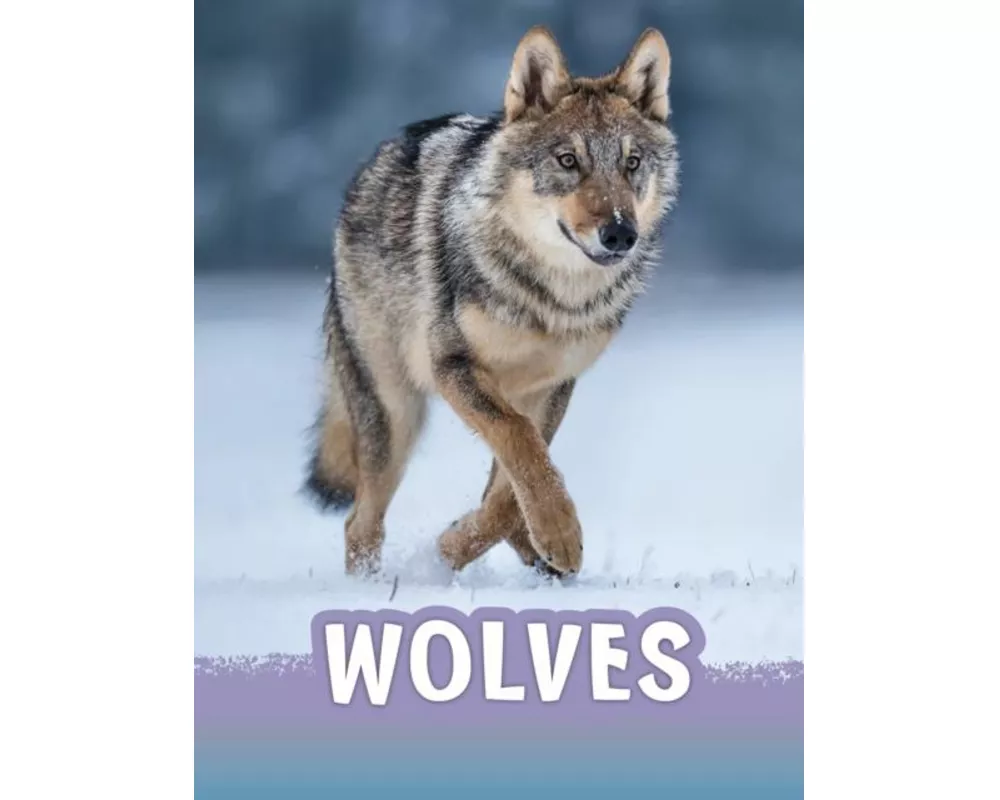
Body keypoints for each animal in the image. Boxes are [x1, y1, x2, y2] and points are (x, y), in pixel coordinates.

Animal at [305, 26, 680, 578]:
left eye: (631, 164)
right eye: (568, 161)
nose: (620, 234)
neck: (551, 298)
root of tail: (374, 163)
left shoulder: (551, 386)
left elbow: (513, 485)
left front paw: (469, 543)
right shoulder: (454, 367)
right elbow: (521, 445)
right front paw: (550, 535)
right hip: (395, 415)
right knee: (359, 523)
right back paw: (368, 586)